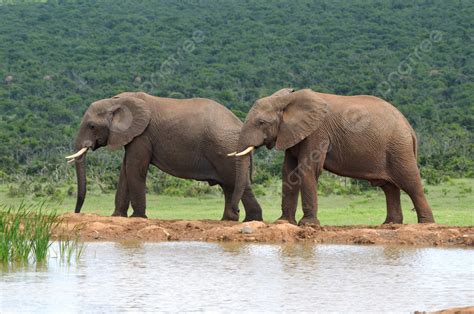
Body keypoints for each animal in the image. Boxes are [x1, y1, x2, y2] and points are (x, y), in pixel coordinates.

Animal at [66, 89, 292, 220]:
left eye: (91, 125)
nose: (76, 213)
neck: (116, 101)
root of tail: (239, 124)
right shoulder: (133, 137)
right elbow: (125, 169)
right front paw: (117, 217)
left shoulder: (142, 135)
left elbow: (134, 169)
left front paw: (138, 218)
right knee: (230, 185)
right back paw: (230, 219)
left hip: (224, 147)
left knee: (237, 182)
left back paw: (250, 220)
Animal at [231, 88, 436, 226]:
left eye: (261, 122)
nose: (236, 213)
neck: (287, 99)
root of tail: (410, 129)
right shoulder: (292, 133)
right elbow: (288, 171)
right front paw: (283, 222)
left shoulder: (317, 133)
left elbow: (307, 169)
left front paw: (308, 225)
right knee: (389, 188)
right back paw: (390, 225)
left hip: (399, 148)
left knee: (411, 183)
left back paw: (426, 224)